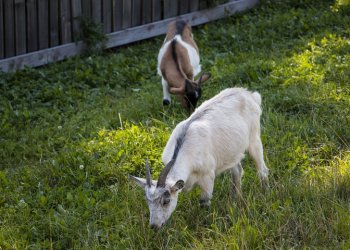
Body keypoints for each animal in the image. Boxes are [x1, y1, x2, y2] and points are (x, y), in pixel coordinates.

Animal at [130, 87, 270, 229]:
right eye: (148, 201)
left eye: (166, 201)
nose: (154, 226)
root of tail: (249, 94)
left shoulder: (208, 176)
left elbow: (204, 202)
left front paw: (206, 225)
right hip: (232, 150)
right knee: (237, 171)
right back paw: (236, 199)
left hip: (254, 138)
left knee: (262, 169)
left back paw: (265, 192)